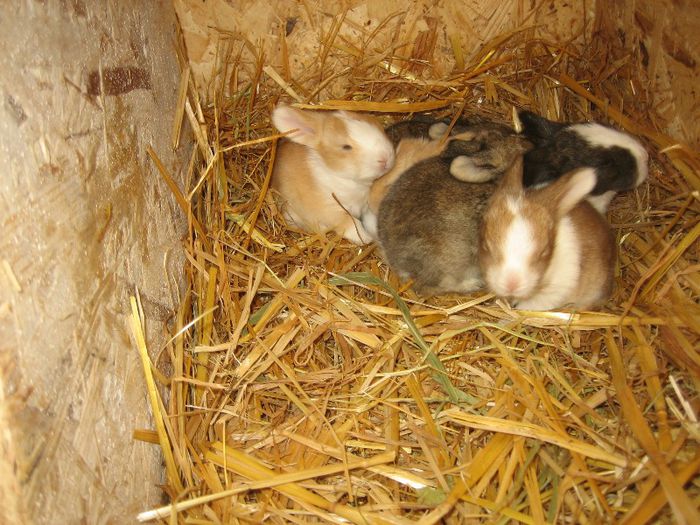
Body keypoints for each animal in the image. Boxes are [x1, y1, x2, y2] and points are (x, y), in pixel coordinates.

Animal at [270, 104, 396, 244]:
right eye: (346, 147)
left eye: (378, 126)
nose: (385, 157)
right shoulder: (332, 210)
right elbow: (352, 224)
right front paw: (366, 239)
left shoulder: (366, 207)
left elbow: (370, 219)